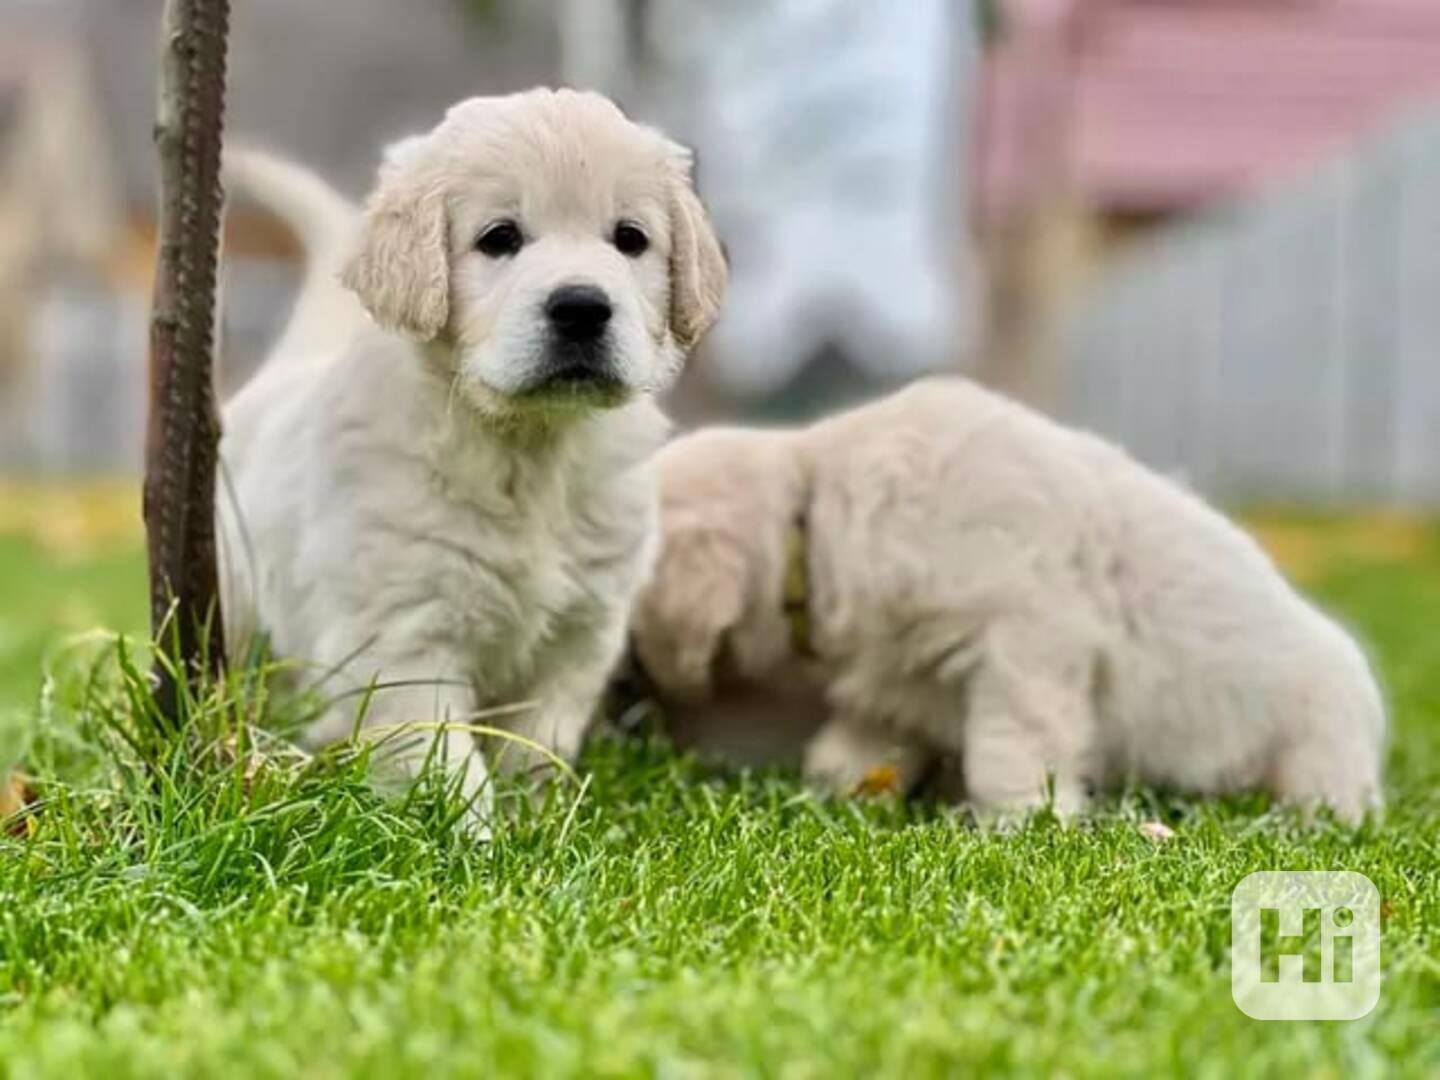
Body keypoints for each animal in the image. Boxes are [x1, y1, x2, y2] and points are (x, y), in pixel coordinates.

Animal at [218, 91, 725, 829]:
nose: (582, 307)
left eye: (630, 238)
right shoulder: (402, 640)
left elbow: (538, 745)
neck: (527, 449)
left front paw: (539, 822)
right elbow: (447, 764)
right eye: (499, 238)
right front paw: (476, 840)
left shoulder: (580, 635)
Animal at [627, 377, 1382, 823]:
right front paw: (844, 792)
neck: (813, 516)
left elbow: (1013, 746)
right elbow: (858, 746)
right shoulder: (895, 676)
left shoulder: (1027, 639)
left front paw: (1017, 823)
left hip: (1319, 748)